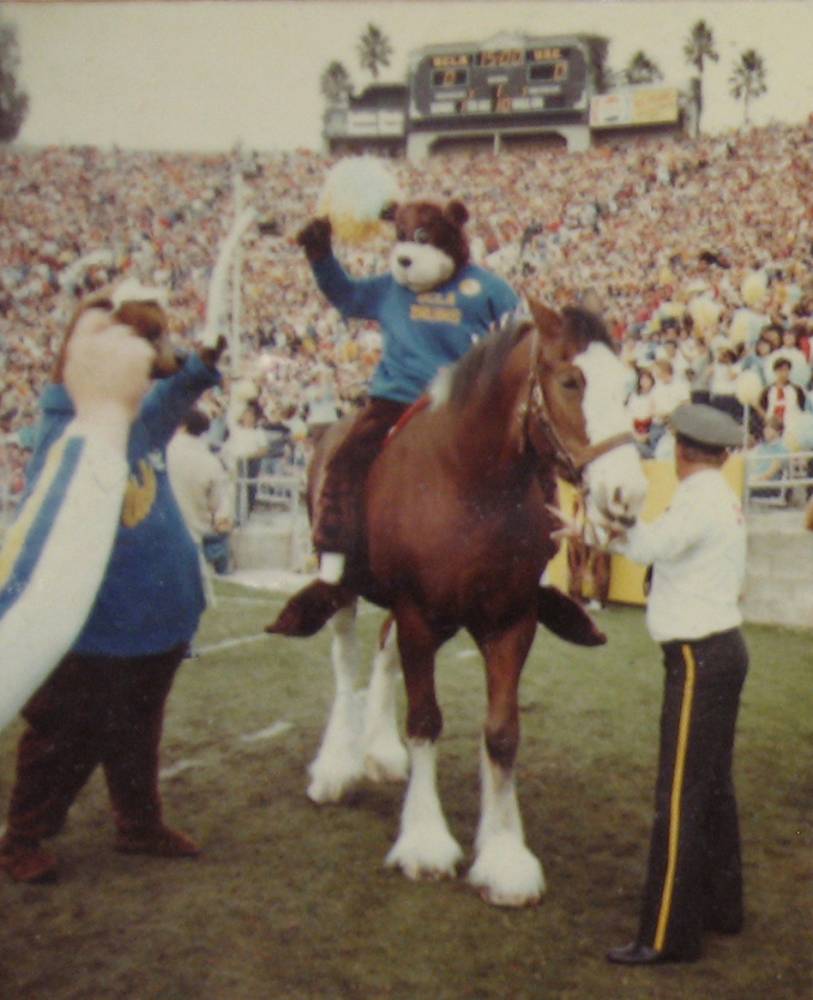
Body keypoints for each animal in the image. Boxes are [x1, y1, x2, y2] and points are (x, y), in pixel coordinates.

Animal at [272, 298, 648, 908]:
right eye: (571, 381)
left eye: (630, 385)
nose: (627, 496)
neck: (469, 484)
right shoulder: (420, 616)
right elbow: (426, 720)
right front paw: (425, 842)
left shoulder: (510, 622)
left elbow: (501, 733)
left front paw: (503, 856)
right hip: (349, 588)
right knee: (346, 660)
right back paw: (337, 767)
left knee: (381, 650)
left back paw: (379, 752)